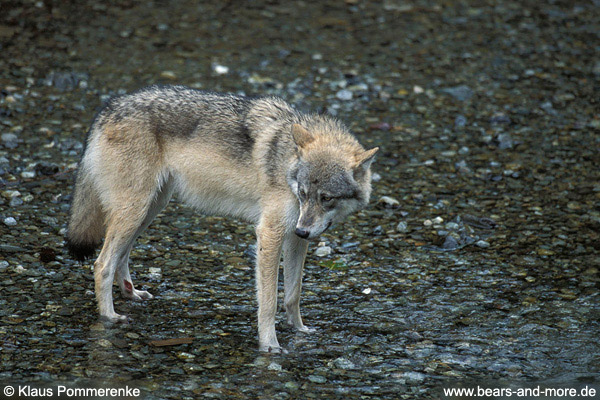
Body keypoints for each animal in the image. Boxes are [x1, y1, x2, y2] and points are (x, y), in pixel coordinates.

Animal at [68, 83, 378, 350]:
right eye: (303, 194)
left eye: (326, 198)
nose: (303, 230)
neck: (288, 161)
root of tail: (108, 108)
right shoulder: (271, 232)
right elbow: (269, 300)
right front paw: (269, 344)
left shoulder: (295, 237)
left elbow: (293, 294)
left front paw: (299, 329)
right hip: (136, 209)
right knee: (102, 263)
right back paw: (109, 316)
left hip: (148, 210)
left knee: (122, 254)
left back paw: (130, 293)